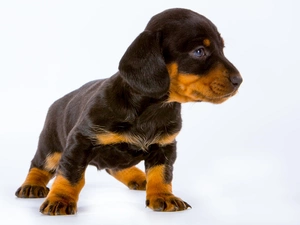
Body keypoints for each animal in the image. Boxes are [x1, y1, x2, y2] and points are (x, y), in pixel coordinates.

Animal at [15, 7, 243, 215]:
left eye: (222, 48)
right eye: (199, 51)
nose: (238, 81)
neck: (152, 109)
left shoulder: (165, 147)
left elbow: (161, 175)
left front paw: (163, 196)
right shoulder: (80, 142)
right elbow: (70, 175)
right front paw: (60, 200)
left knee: (116, 166)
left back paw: (139, 177)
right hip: (50, 146)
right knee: (40, 165)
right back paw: (32, 185)